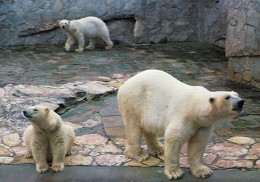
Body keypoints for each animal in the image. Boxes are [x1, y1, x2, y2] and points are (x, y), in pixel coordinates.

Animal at [117, 69, 245, 179]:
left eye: (237, 95)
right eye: (227, 97)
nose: (241, 102)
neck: (196, 107)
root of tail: (124, 84)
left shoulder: (203, 125)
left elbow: (198, 144)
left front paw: (203, 171)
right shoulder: (184, 115)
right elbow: (174, 138)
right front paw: (175, 173)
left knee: (148, 127)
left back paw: (158, 149)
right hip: (134, 101)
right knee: (133, 127)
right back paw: (139, 154)